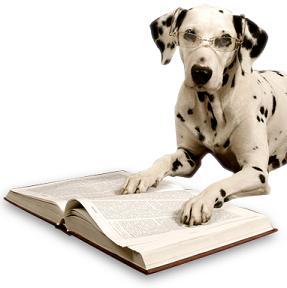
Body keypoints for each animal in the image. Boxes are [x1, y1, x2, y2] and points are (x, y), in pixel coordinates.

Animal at [121, 3, 287, 225]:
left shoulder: (256, 171)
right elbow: (164, 158)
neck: (213, 107)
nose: (201, 72)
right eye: (190, 34)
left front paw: (199, 201)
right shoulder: (187, 156)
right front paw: (143, 175)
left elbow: (220, 183)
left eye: (225, 39)